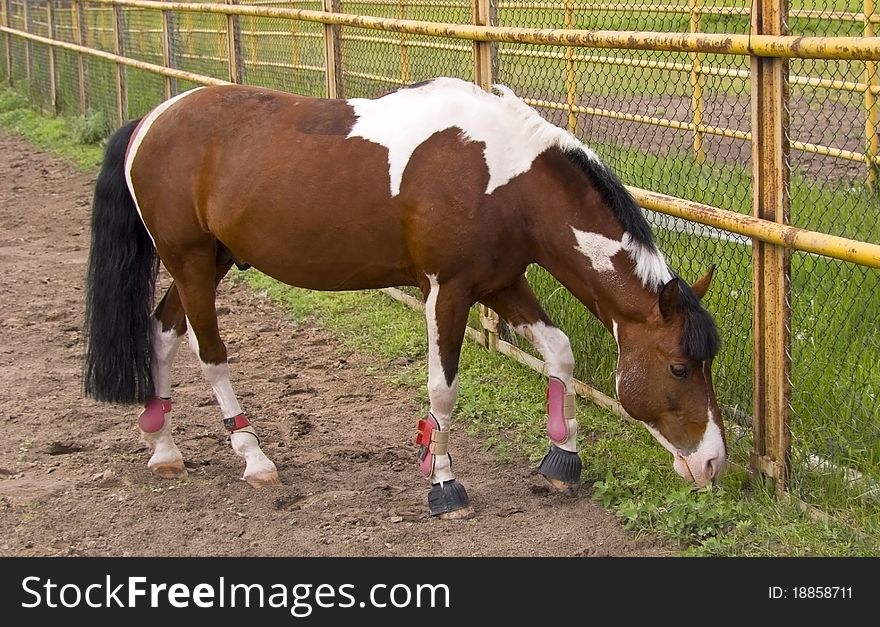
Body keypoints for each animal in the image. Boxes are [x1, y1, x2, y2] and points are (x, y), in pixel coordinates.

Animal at [86, 77, 724, 520]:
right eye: (679, 366)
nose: (713, 461)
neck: (503, 178)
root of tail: (149, 121)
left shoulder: (502, 283)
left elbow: (560, 351)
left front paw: (561, 460)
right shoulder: (448, 291)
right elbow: (443, 391)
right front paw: (443, 484)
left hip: (208, 262)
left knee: (160, 334)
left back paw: (164, 449)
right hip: (191, 262)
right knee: (209, 353)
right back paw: (254, 457)